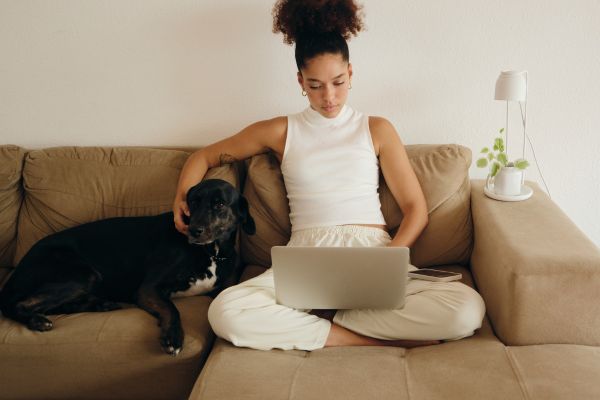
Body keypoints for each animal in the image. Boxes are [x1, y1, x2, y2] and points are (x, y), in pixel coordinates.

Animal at [0, 180, 254, 354]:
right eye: (193, 202)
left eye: (219, 204)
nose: (193, 230)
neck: (210, 253)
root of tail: (19, 268)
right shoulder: (148, 289)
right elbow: (172, 309)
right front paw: (173, 336)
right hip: (82, 274)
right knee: (20, 304)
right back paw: (38, 320)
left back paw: (99, 304)